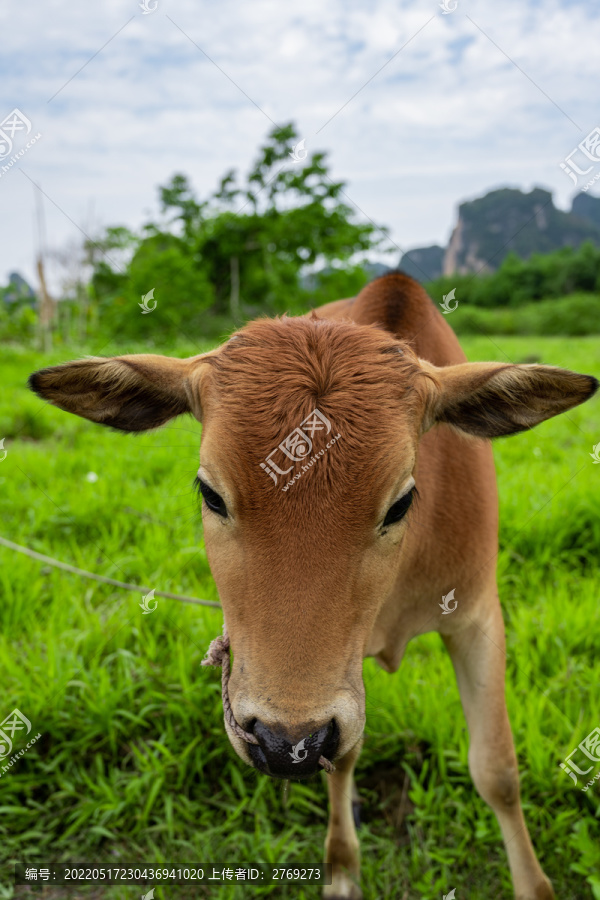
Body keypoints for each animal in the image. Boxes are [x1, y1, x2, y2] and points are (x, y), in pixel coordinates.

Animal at [29, 274, 596, 900]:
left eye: (401, 502)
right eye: (210, 494)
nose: (283, 742)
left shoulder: (477, 618)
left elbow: (497, 771)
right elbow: (345, 759)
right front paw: (342, 866)